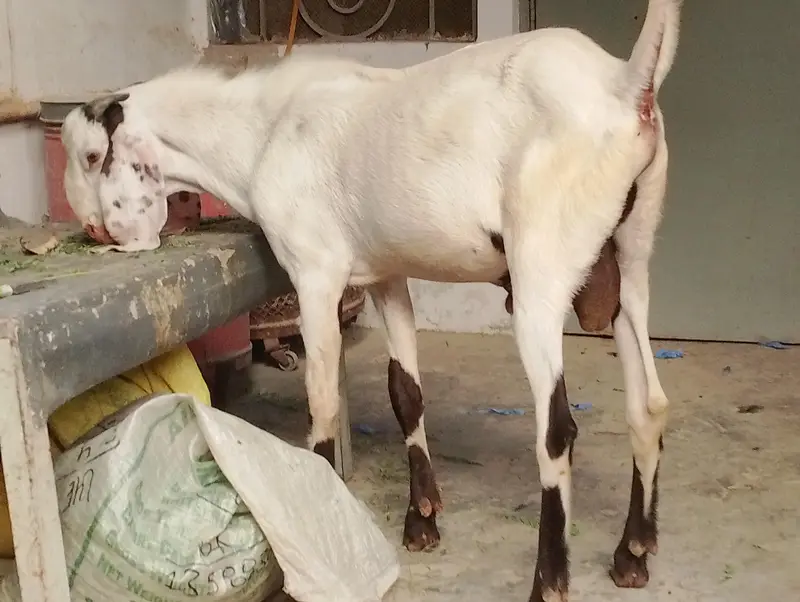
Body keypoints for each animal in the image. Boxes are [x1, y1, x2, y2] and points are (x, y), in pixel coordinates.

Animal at [61, 1, 682, 598]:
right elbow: (406, 392)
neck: (264, 132)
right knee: (648, 404)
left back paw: (549, 582)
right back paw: (633, 552)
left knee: (557, 432)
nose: (91, 229)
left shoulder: (315, 275)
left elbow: (322, 403)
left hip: (541, 275)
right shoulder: (386, 275)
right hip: (631, 260)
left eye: (91, 157)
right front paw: (422, 520)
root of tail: (625, 85)